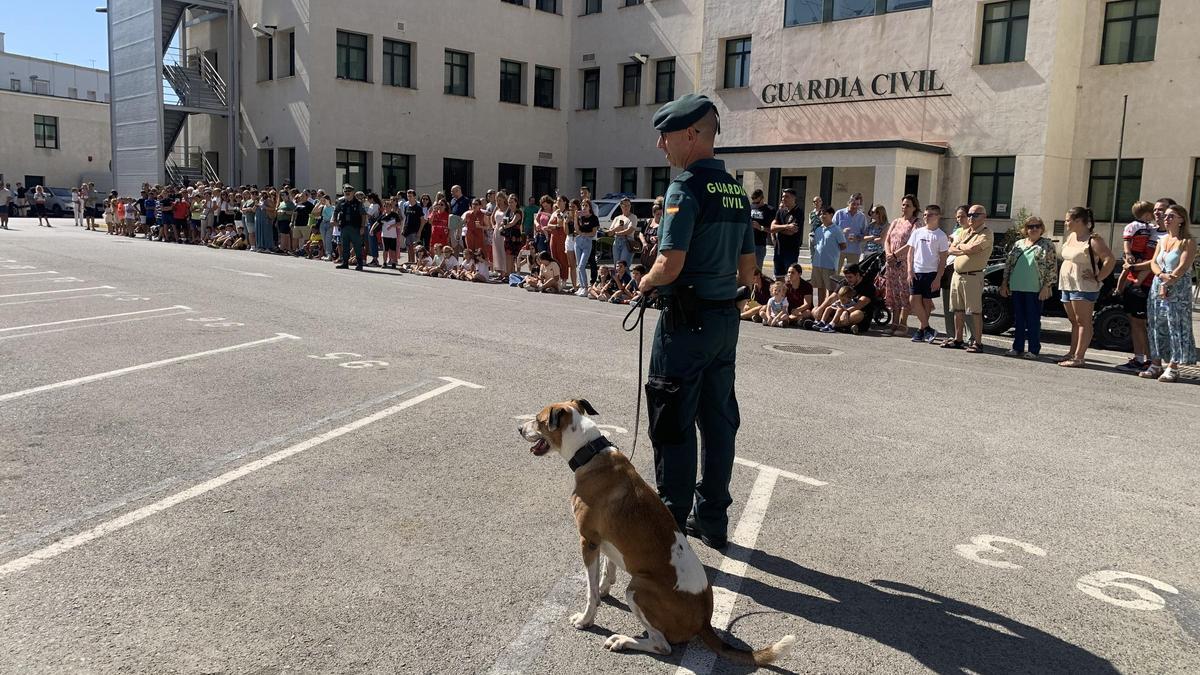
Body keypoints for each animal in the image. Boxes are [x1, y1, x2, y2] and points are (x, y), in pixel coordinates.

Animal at [516, 396, 796, 658]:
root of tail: (704, 621)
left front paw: (586, 619)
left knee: (663, 646)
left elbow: (590, 591)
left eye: (539, 420)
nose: (519, 428)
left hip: (637, 589)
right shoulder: (605, 540)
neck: (590, 452)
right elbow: (608, 568)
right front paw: (605, 589)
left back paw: (623, 640)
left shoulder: (588, 541)